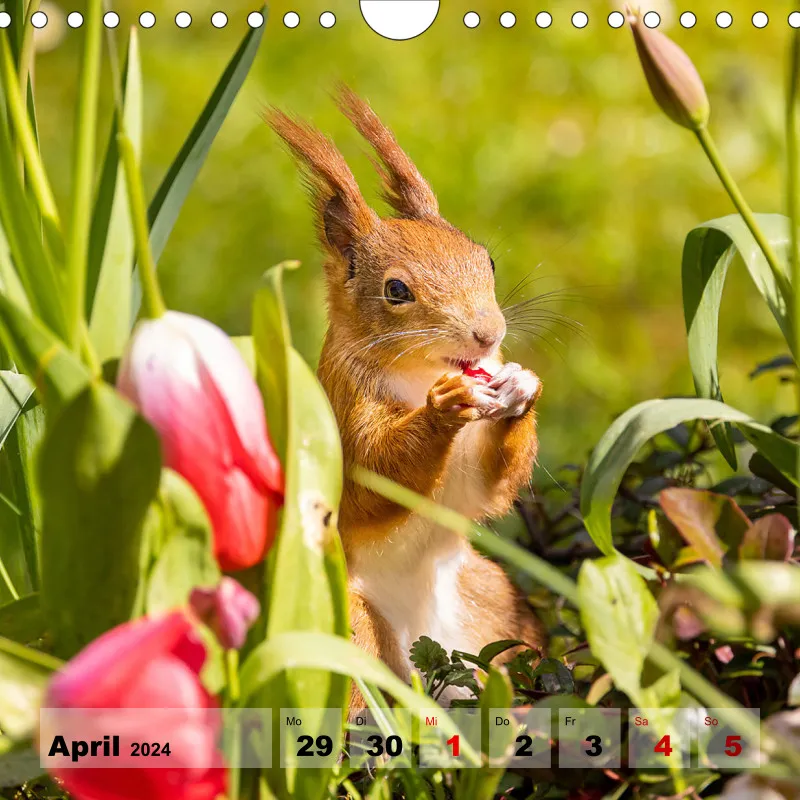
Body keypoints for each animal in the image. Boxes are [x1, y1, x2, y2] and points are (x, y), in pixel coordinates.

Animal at [267, 88, 546, 714]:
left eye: (487, 260)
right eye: (396, 290)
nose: (489, 335)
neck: (418, 377)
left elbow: (486, 488)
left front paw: (521, 388)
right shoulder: (345, 416)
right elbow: (375, 477)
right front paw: (443, 408)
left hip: (495, 609)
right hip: (349, 630)